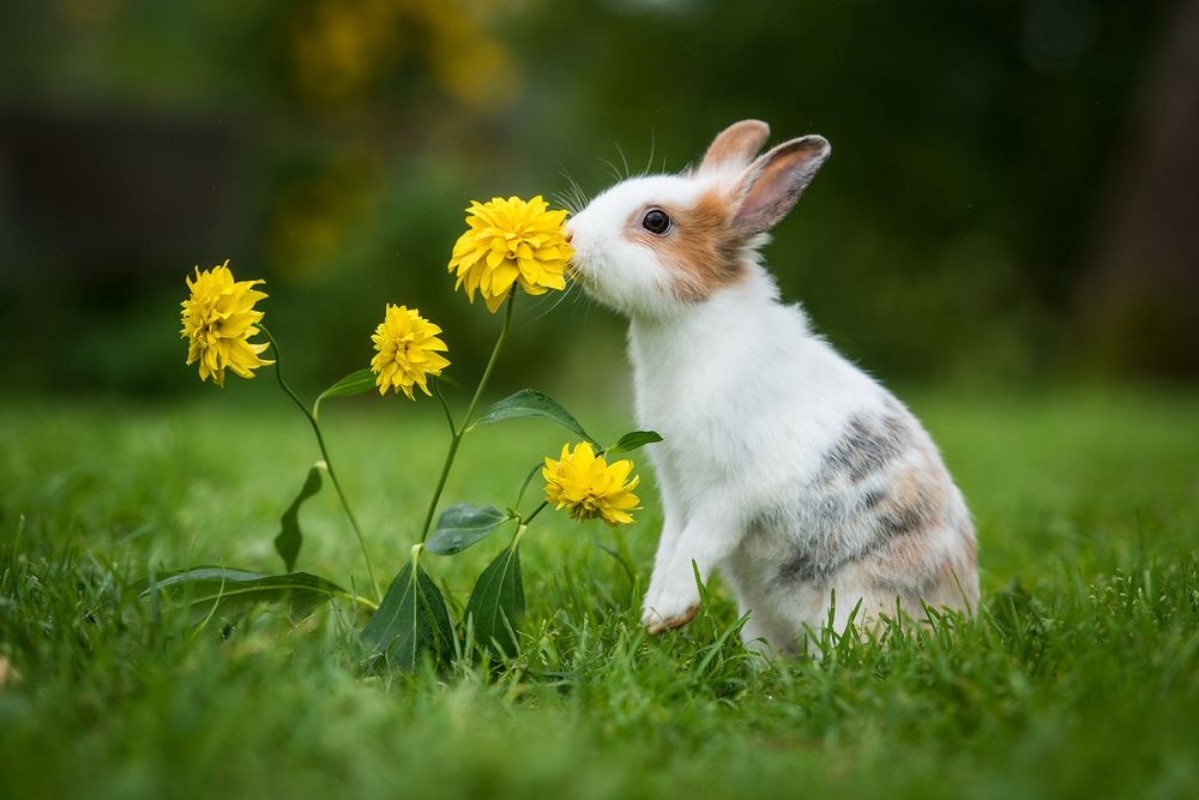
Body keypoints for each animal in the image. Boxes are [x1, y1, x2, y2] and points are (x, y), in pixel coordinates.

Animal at [564, 120, 979, 654]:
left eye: (655, 221)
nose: (569, 236)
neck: (693, 324)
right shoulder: (676, 489)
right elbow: (671, 544)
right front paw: (655, 614)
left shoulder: (731, 490)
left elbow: (698, 543)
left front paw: (666, 613)